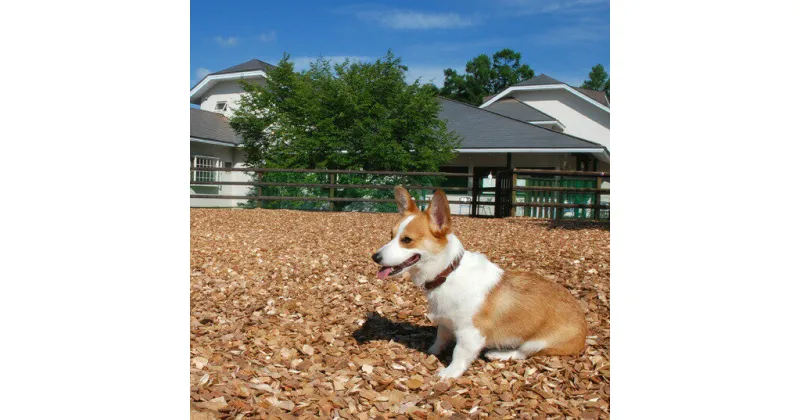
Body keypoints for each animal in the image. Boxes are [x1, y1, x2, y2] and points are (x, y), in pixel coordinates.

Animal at [370, 185, 588, 378]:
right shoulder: (446, 323)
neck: (448, 274)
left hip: (537, 343)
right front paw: (432, 351)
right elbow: (441, 338)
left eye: (406, 240)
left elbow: (459, 354)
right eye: (391, 236)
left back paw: (498, 354)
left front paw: (449, 373)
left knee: (522, 353)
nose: (375, 257)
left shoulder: (470, 334)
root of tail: (584, 333)